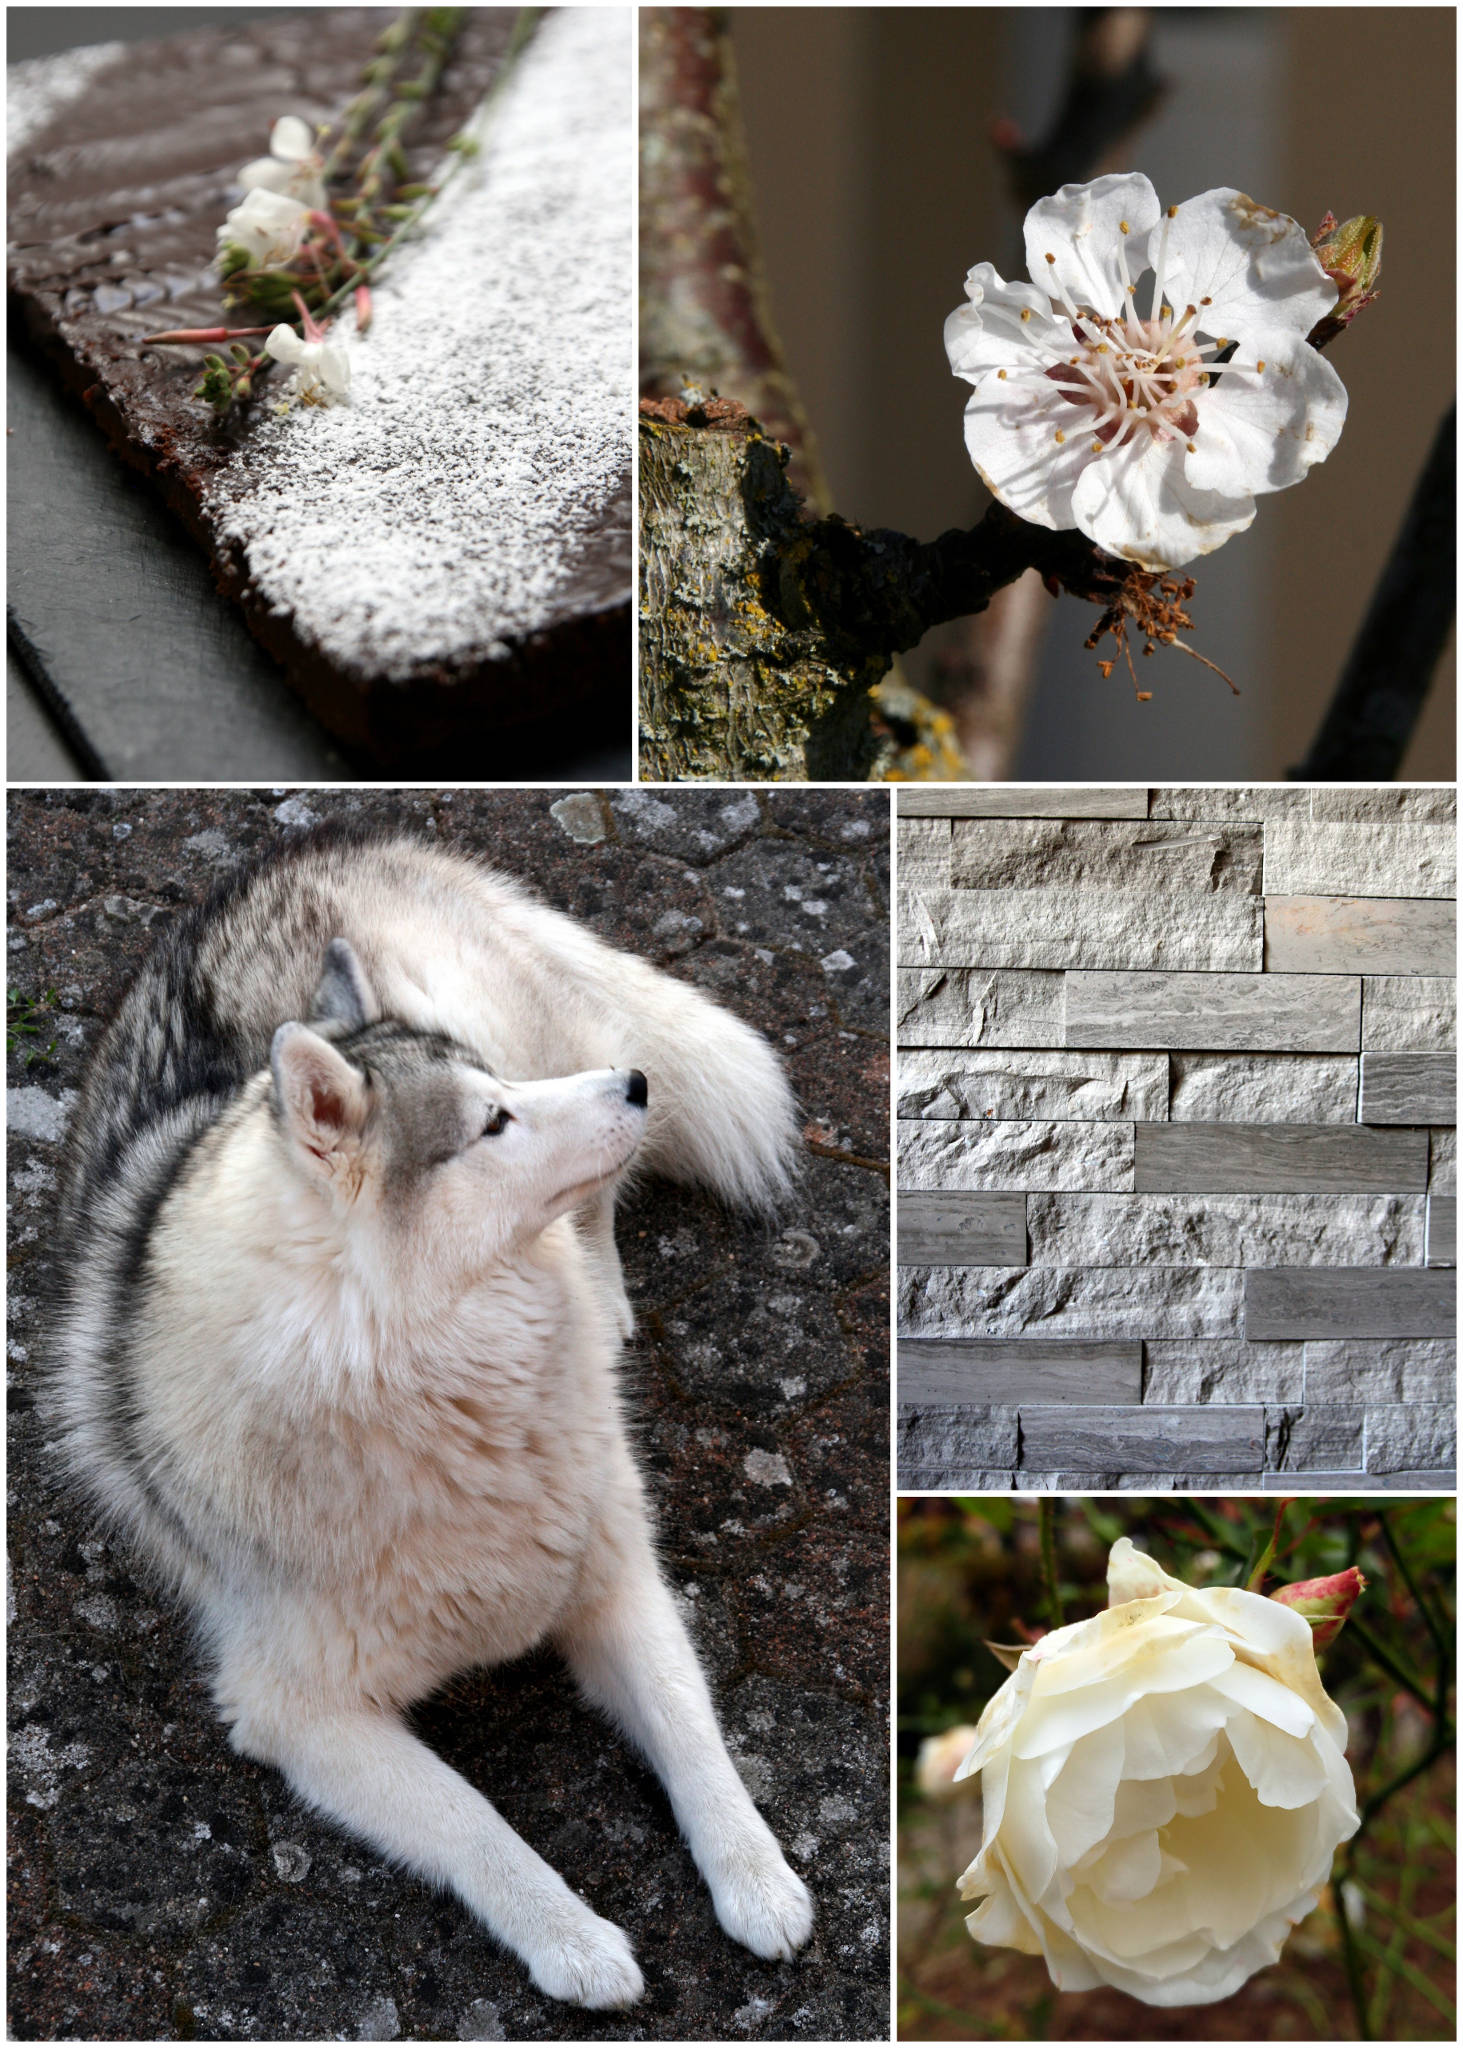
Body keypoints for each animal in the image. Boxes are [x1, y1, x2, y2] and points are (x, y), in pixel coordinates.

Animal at [54, 827, 807, 1998]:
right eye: (493, 1120)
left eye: (500, 1088)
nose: (633, 1085)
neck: (434, 1373)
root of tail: (328, 846)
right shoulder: (298, 1712)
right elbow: (475, 1822)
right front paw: (570, 1936)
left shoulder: (614, 1575)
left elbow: (694, 1737)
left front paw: (757, 1876)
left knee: (601, 1202)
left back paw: (607, 1303)